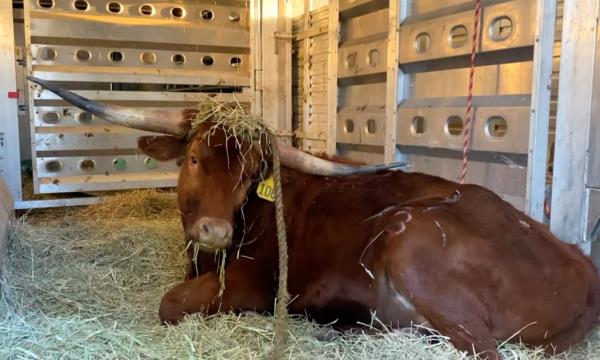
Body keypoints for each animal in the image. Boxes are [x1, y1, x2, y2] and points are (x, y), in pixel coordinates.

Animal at [30, 76, 600, 360]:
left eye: (249, 175)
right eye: (192, 158)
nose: (217, 232)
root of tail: (581, 265)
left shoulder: (254, 285)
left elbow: (170, 304)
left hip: (411, 236)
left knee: (483, 350)